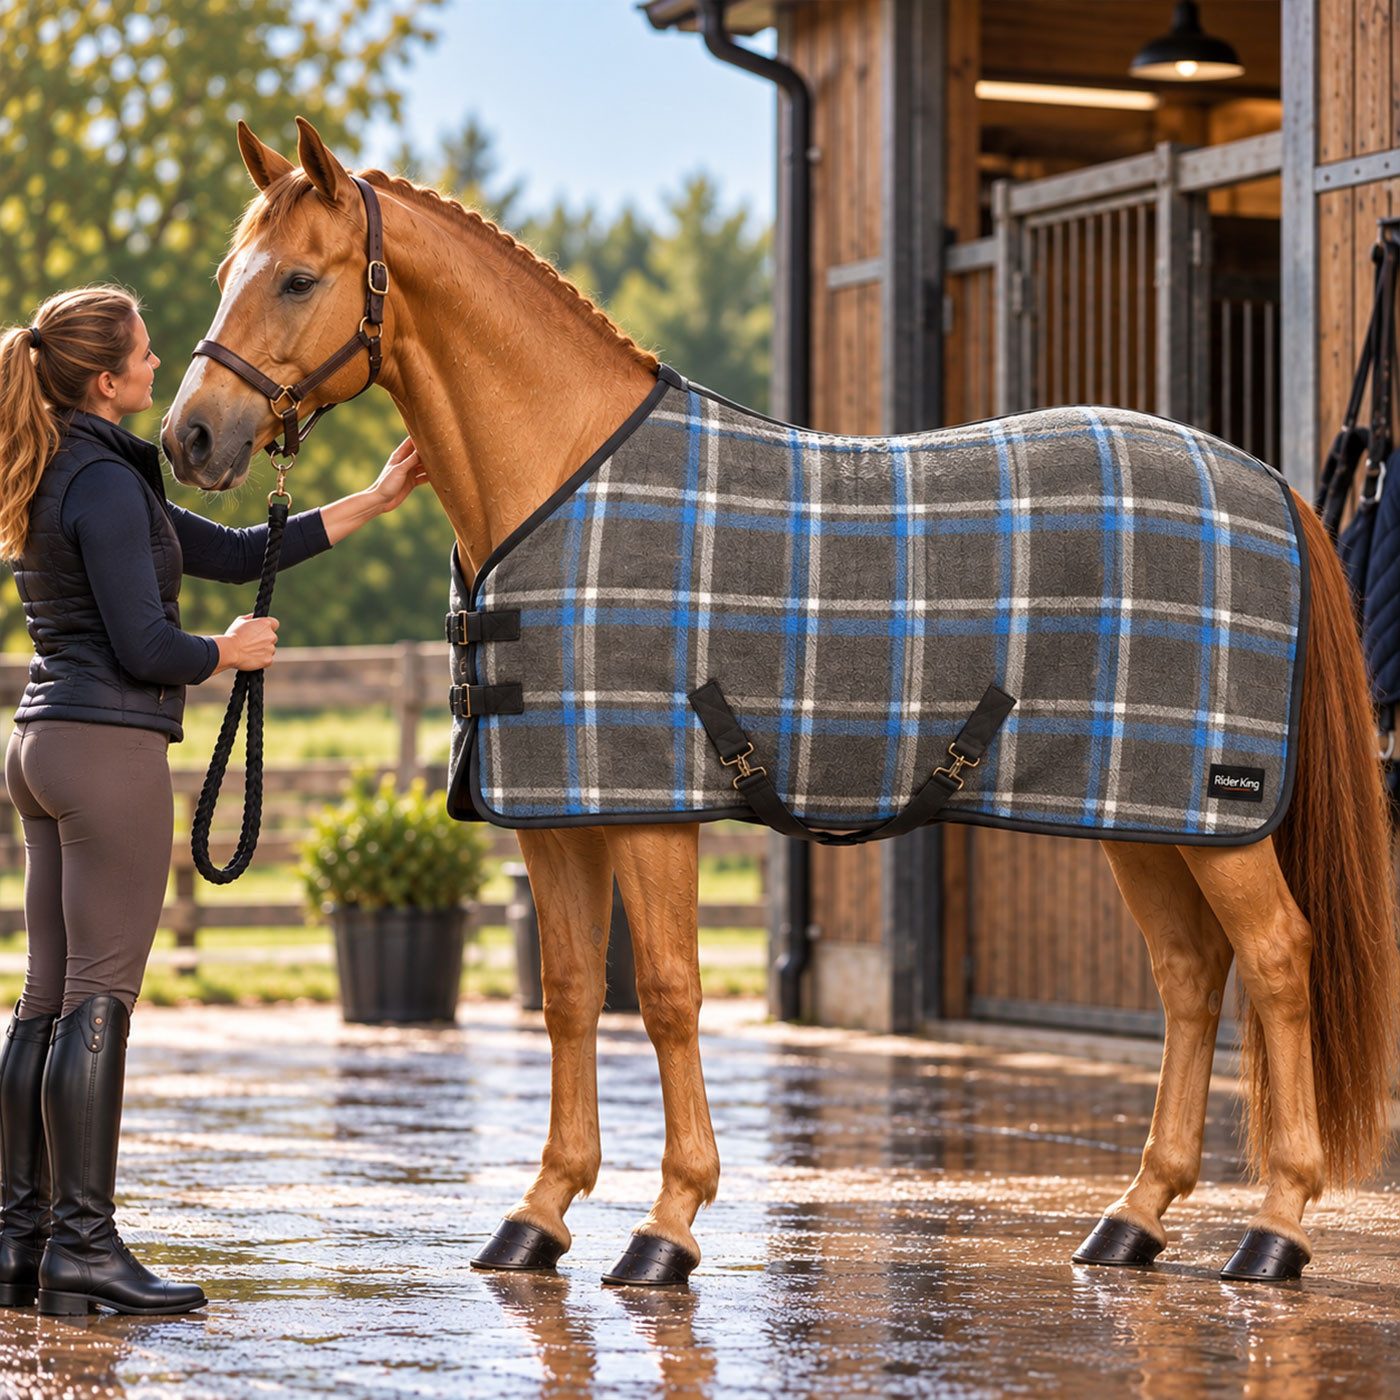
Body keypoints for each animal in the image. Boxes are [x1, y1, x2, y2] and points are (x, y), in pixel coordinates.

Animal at [162, 118, 1400, 1287]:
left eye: (296, 278)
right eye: (226, 268)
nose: (191, 437)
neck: (561, 478)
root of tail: (1268, 488)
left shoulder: (651, 812)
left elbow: (665, 993)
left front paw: (667, 1225)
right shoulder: (556, 819)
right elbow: (568, 994)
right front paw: (539, 1213)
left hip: (1216, 816)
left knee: (1277, 957)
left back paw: (1275, 1226)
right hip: (1143, 819)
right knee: (1190, 975)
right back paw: (1133, 1216)